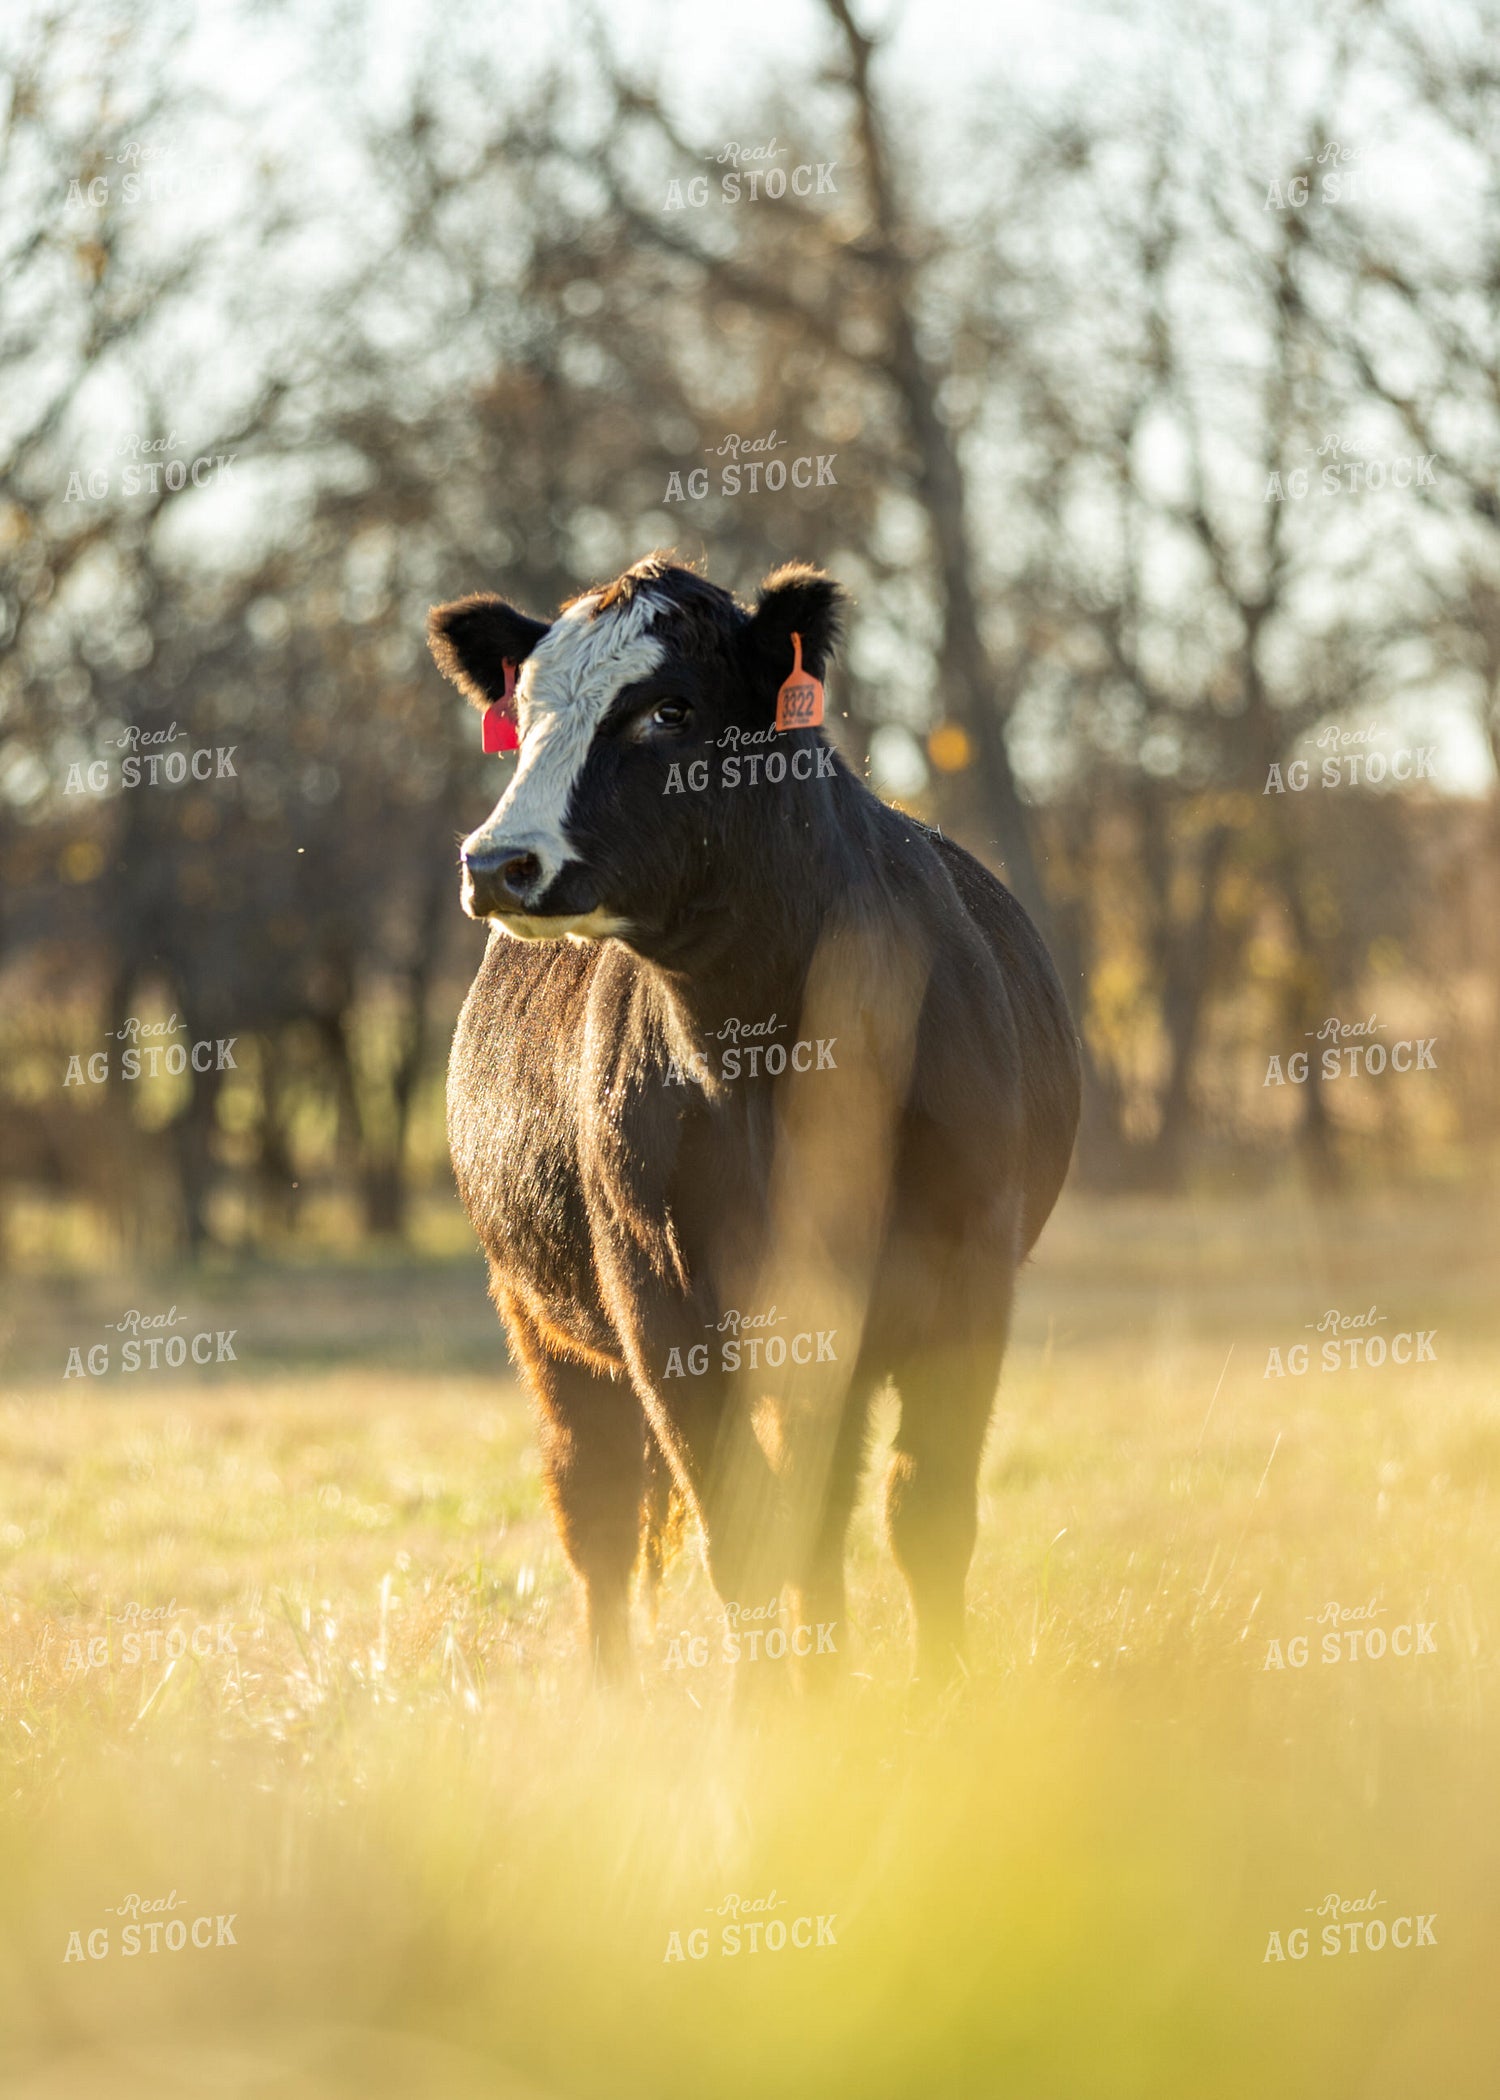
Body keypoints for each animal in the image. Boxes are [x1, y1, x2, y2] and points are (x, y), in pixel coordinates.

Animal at [428, 553, 1080, 1689]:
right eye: (527, 706)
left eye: (671, 709)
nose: (497, 861)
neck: (769, 1053)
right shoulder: (661, 1307)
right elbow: (740, 1538)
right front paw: (769, 1722)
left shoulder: (965, 1277)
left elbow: (925, 1516)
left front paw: (945, 1707)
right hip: (543, 1322)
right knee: (598, 1507)